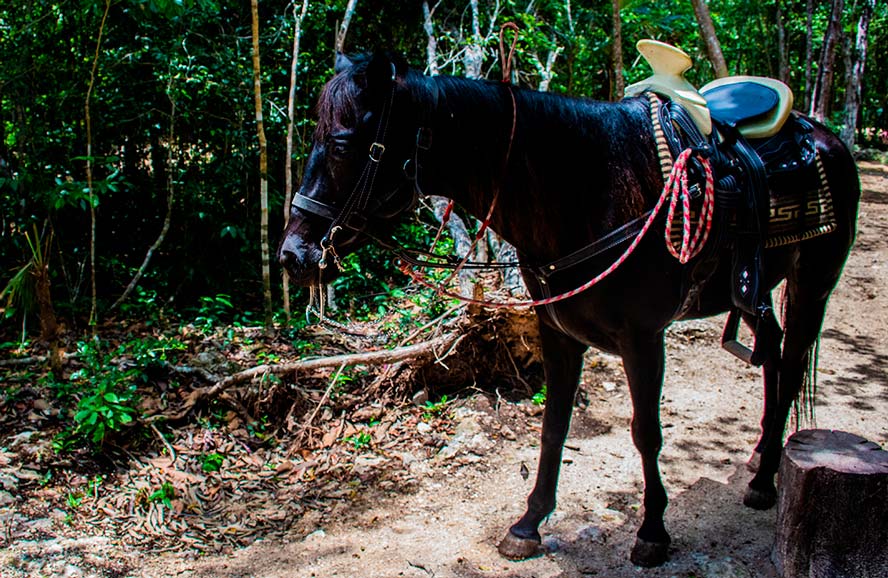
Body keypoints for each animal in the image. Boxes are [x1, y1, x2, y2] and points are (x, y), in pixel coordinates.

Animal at [277, 52, 860, 567]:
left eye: (342, 144)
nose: (292, 255)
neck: (585, 189)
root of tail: (821, 133)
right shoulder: (557, 333)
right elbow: (554, 424)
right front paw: (529, 524)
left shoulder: (644, 338)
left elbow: (646, 432)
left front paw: (652, 532)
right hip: (761, 290)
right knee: (774, 352)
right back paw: (762, 456)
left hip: (814, 282)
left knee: (791, 365)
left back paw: (763, 481)